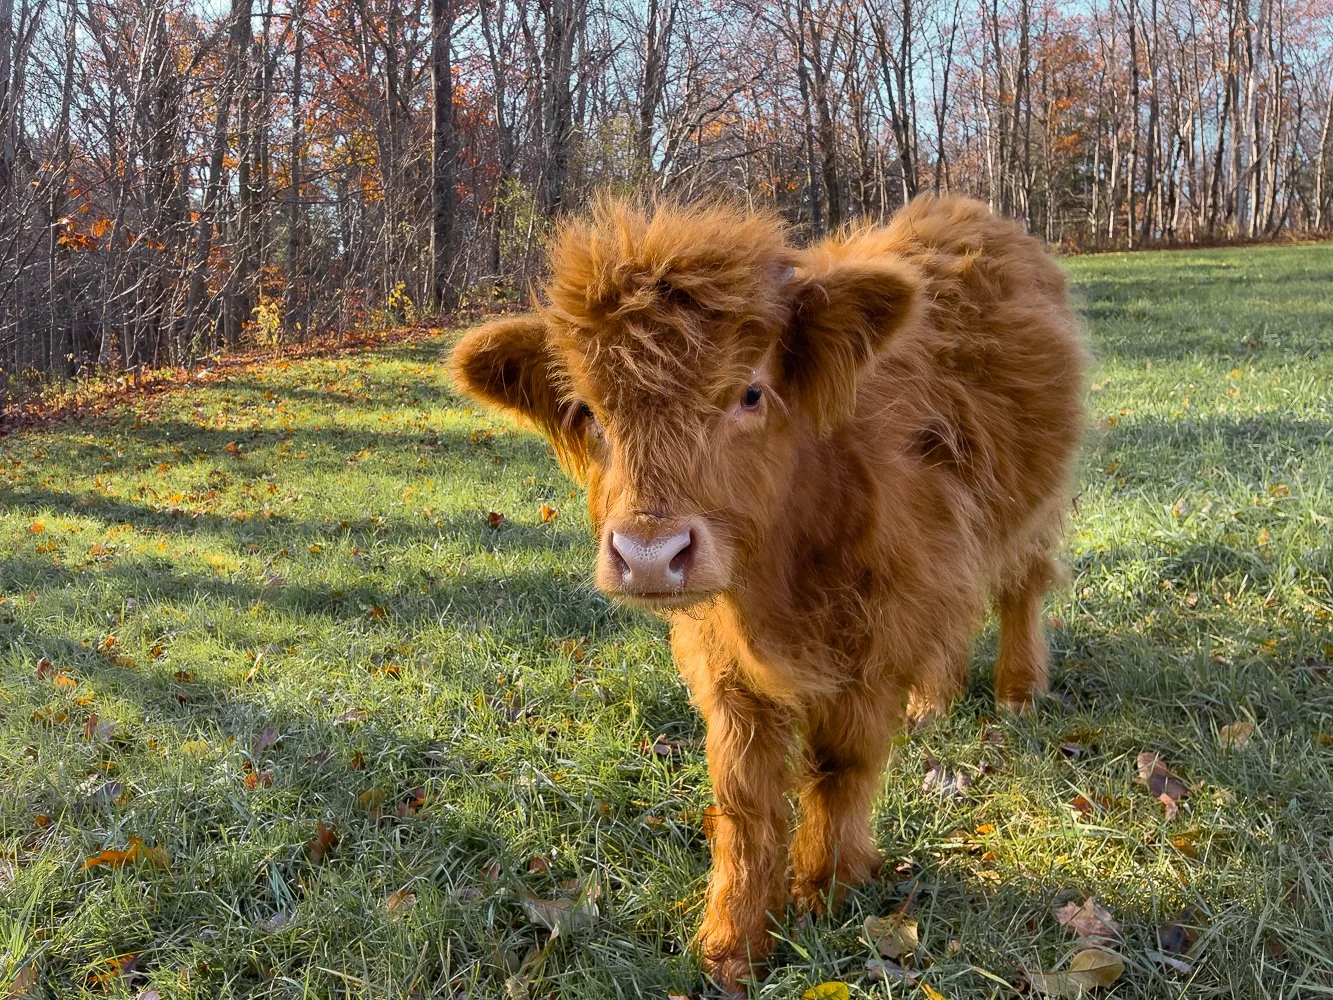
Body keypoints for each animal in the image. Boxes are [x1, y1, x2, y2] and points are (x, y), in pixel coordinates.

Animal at [449, 194, 1087, 992]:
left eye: (750, 391)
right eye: (590, 412)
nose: (650, 555)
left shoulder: (878, 634)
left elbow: (840, 765)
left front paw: (826, 885)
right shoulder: (727, 664)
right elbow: (744, 800)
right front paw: (733, 940)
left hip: (1031, 509)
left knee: (1020, 590)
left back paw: (1017, 692)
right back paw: (932, 705)